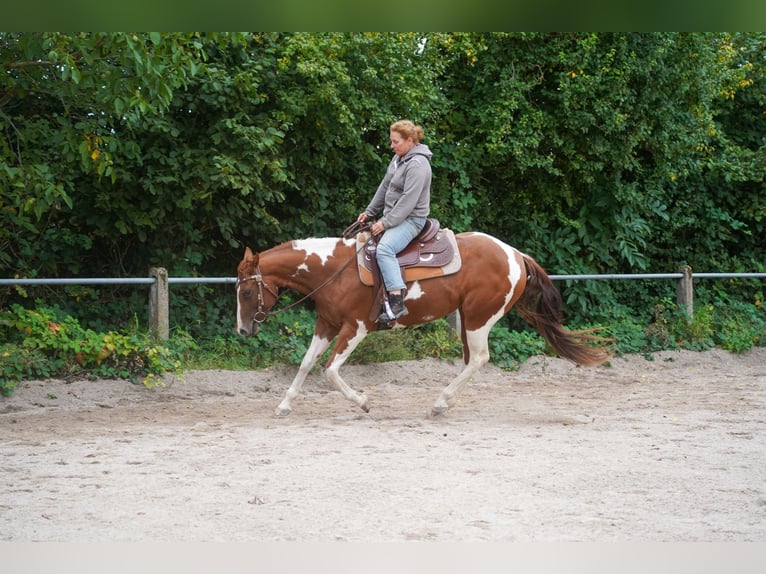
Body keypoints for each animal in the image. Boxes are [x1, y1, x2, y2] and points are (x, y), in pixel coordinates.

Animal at [236, 229, 612, 417]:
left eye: (246, 292)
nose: (242, 330)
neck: (334, 270)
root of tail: (517, 255)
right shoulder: (326, 324)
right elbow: (306, 364)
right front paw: (284, 406)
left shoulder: (356, 327)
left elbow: (329, 370)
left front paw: (363, 402)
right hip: (465, 319)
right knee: (470, 360)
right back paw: (449, 402)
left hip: (478, 318)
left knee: (479, 358)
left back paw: (440, 402)